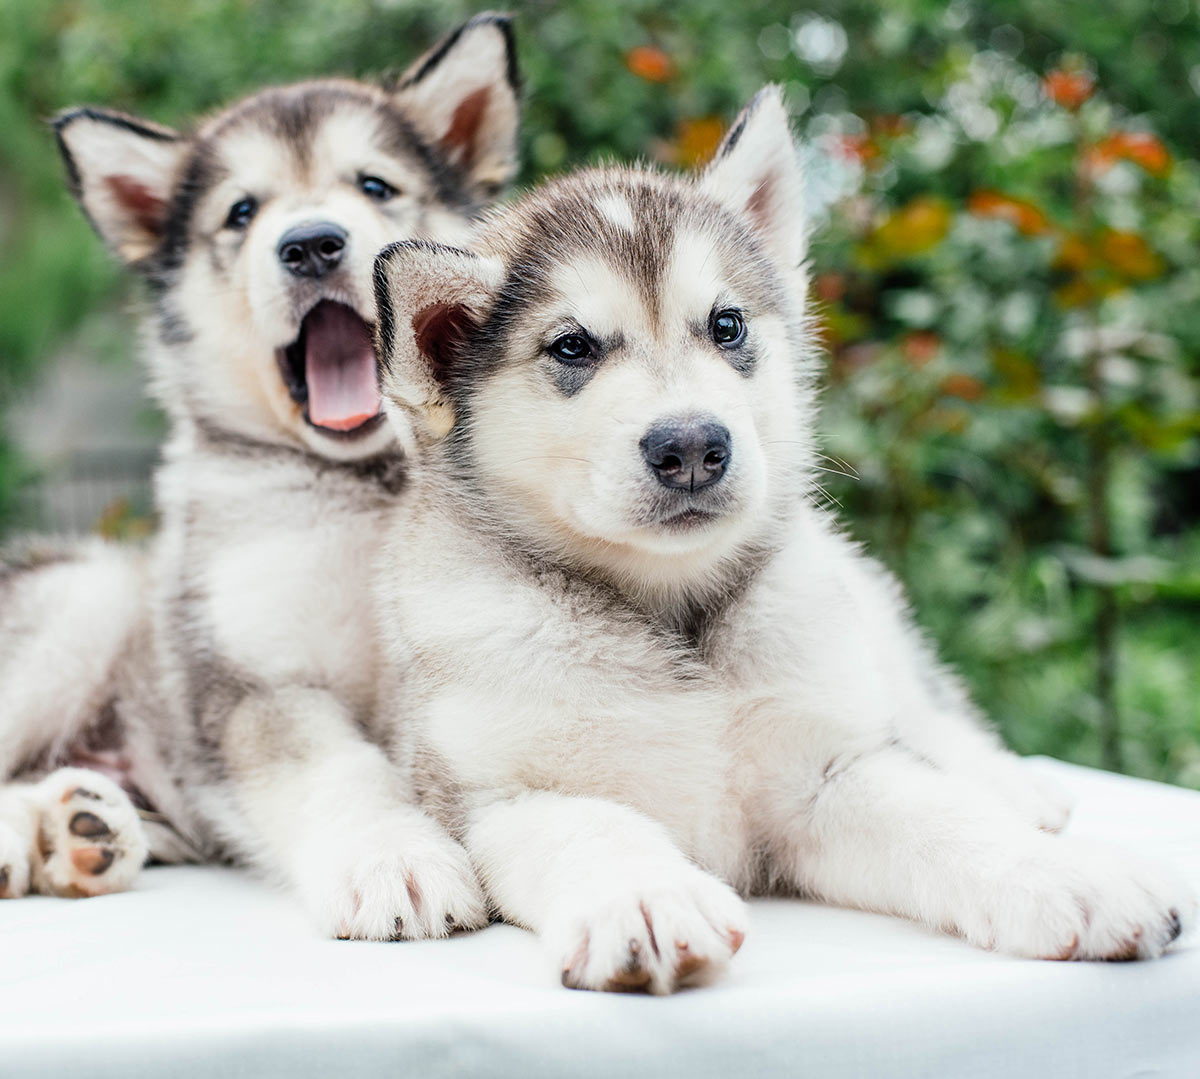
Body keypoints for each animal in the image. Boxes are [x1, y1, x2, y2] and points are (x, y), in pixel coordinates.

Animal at [2, 12, 523, 936]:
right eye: (241, 212)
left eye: (375, 185)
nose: (311, 244)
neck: (363, 489)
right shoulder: (259, 678)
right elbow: (338, 770)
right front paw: (395, 859)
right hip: (85, 600)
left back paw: (81, 826)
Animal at [372, 88, 1190, 993]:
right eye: (572, 345)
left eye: (727, 325)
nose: (693, 444)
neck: (672, 615)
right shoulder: (489, 796)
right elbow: (592, 828)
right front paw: (649, 899)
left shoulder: (829, 773)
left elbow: (946, 817)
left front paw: (1073, 876)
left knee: (924, 710)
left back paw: (1013, 786)